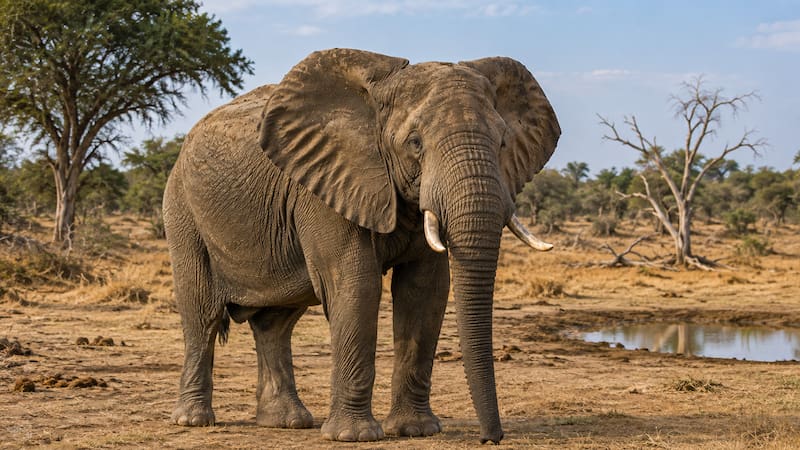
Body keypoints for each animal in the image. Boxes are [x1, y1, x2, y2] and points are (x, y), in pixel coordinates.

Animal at [163, 48, 560, 444]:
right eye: (415, 143)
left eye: (503, 143)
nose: (490, 438)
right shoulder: (324, 183)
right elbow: (357, 285)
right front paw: (354, 436)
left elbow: (424, 292)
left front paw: (415, 430)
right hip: (182, 210)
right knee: (202, 312)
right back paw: (193, 420)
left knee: (276, 322)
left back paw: (287, 422)